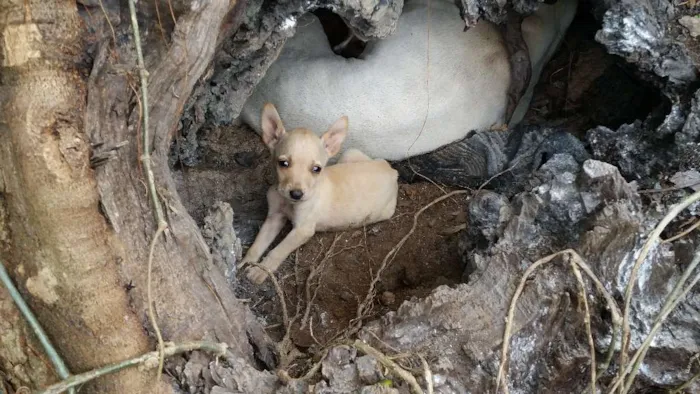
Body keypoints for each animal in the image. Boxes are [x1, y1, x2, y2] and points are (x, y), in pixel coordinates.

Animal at [242, 103, 396, 284]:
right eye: (283, 163)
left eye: (317, 169)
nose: (296, 194)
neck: (289, 203)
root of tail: (392, 171)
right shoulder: (274, 217)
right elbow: (257, 244)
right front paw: (244, 263)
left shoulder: (303, 230)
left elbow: (277, 251)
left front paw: (260, 271)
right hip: (350, 153)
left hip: (381, 213)